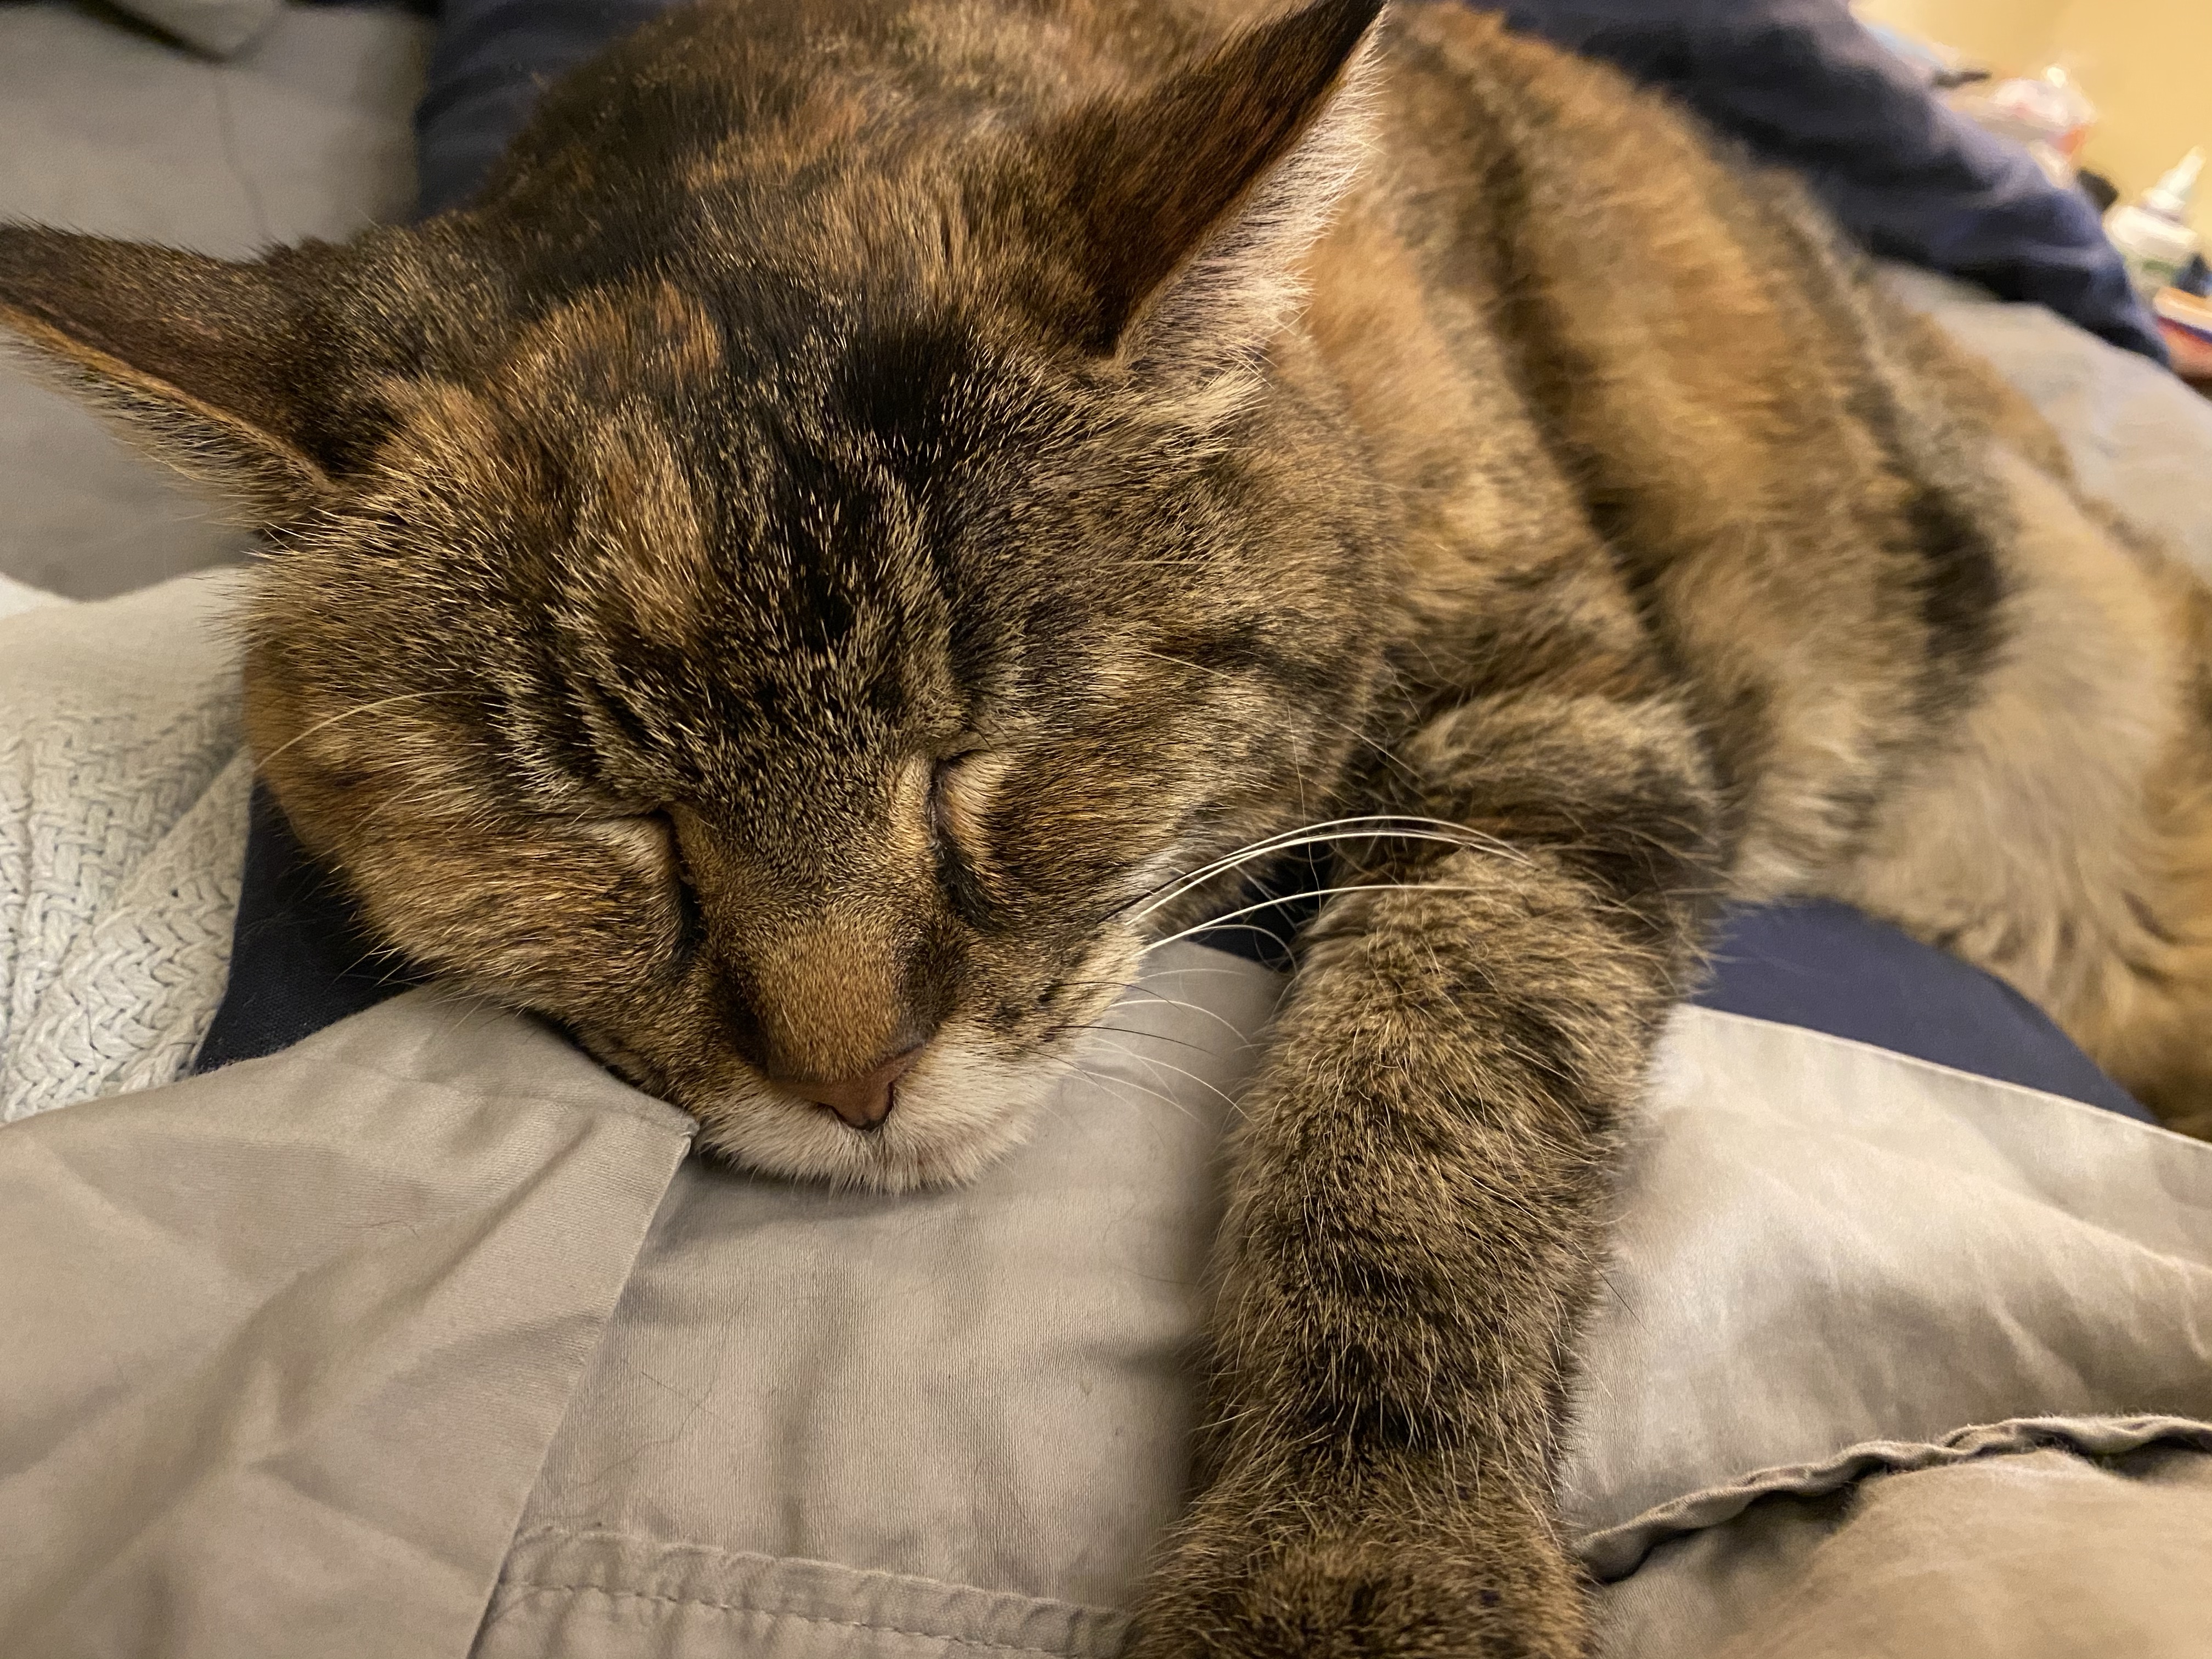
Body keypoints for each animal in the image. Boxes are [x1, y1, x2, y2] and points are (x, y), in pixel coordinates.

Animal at [4, 0, 2212, 1654]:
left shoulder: (1567, 716)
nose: (855, 1078)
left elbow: (1421, 1115)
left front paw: (1360, 1556)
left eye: (989, 751)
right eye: (618, 823)